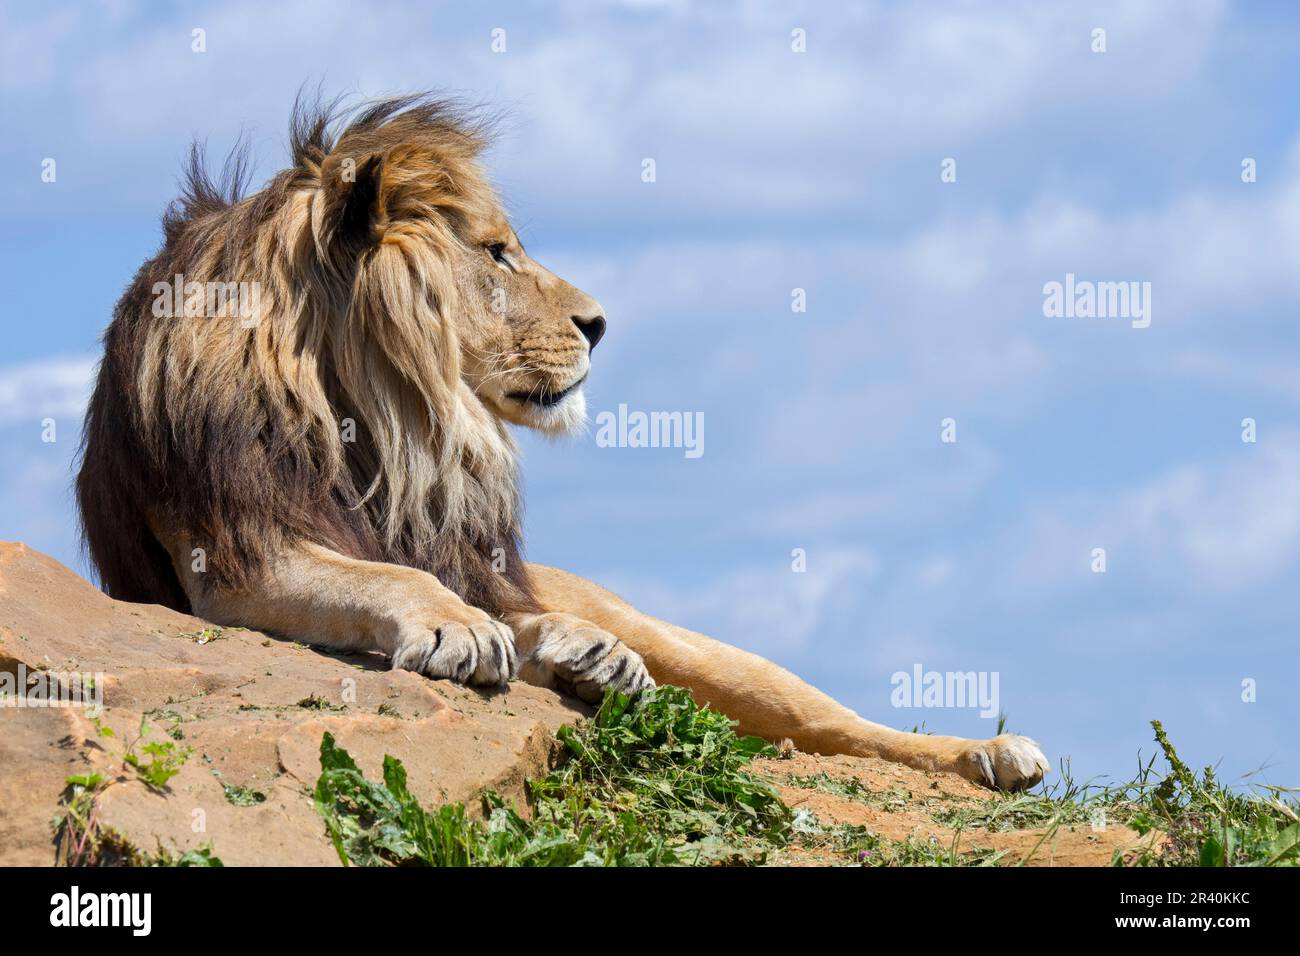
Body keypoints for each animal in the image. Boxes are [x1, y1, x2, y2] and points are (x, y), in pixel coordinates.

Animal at [76, 95, 1047, 790]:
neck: (391, 417)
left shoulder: (470, 560)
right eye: (498, 253)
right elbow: (390, 575)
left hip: (700, 650)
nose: (601, 323)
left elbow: (479, 593)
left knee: (828, 725)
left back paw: (990, 756)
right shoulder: (233, 559)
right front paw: (463, 631)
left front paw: (569, 647)